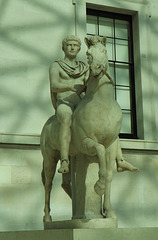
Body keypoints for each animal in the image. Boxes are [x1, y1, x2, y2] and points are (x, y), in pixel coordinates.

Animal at [40, 35, 135, 221]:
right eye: (88, 54)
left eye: (104, 51)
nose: (96, 68)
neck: (102, 102)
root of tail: (47, 123)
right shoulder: (86, 143)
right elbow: (99, 151)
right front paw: (98, 186)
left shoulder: (111, 145)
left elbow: (110, 175)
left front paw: (108, 211)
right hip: (50, 156)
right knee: (48, 184)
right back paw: (48, 217)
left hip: (68, 154)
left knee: (65, 182)